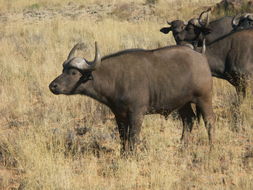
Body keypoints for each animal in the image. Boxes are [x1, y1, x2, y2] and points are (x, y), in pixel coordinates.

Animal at [49, 42, 215, 154]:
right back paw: (182, 146)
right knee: (189, 121)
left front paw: (132, 155)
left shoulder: (136, 114)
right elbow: (123, 137)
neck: (115, 79)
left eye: (73, 73)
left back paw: (211, 147)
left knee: (209, 122)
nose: (53, 86)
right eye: (63, 69)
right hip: (183, 103)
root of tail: (201, 57)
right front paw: (124, 154)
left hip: (204, 99)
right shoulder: (119, 115)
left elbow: (134, 137)